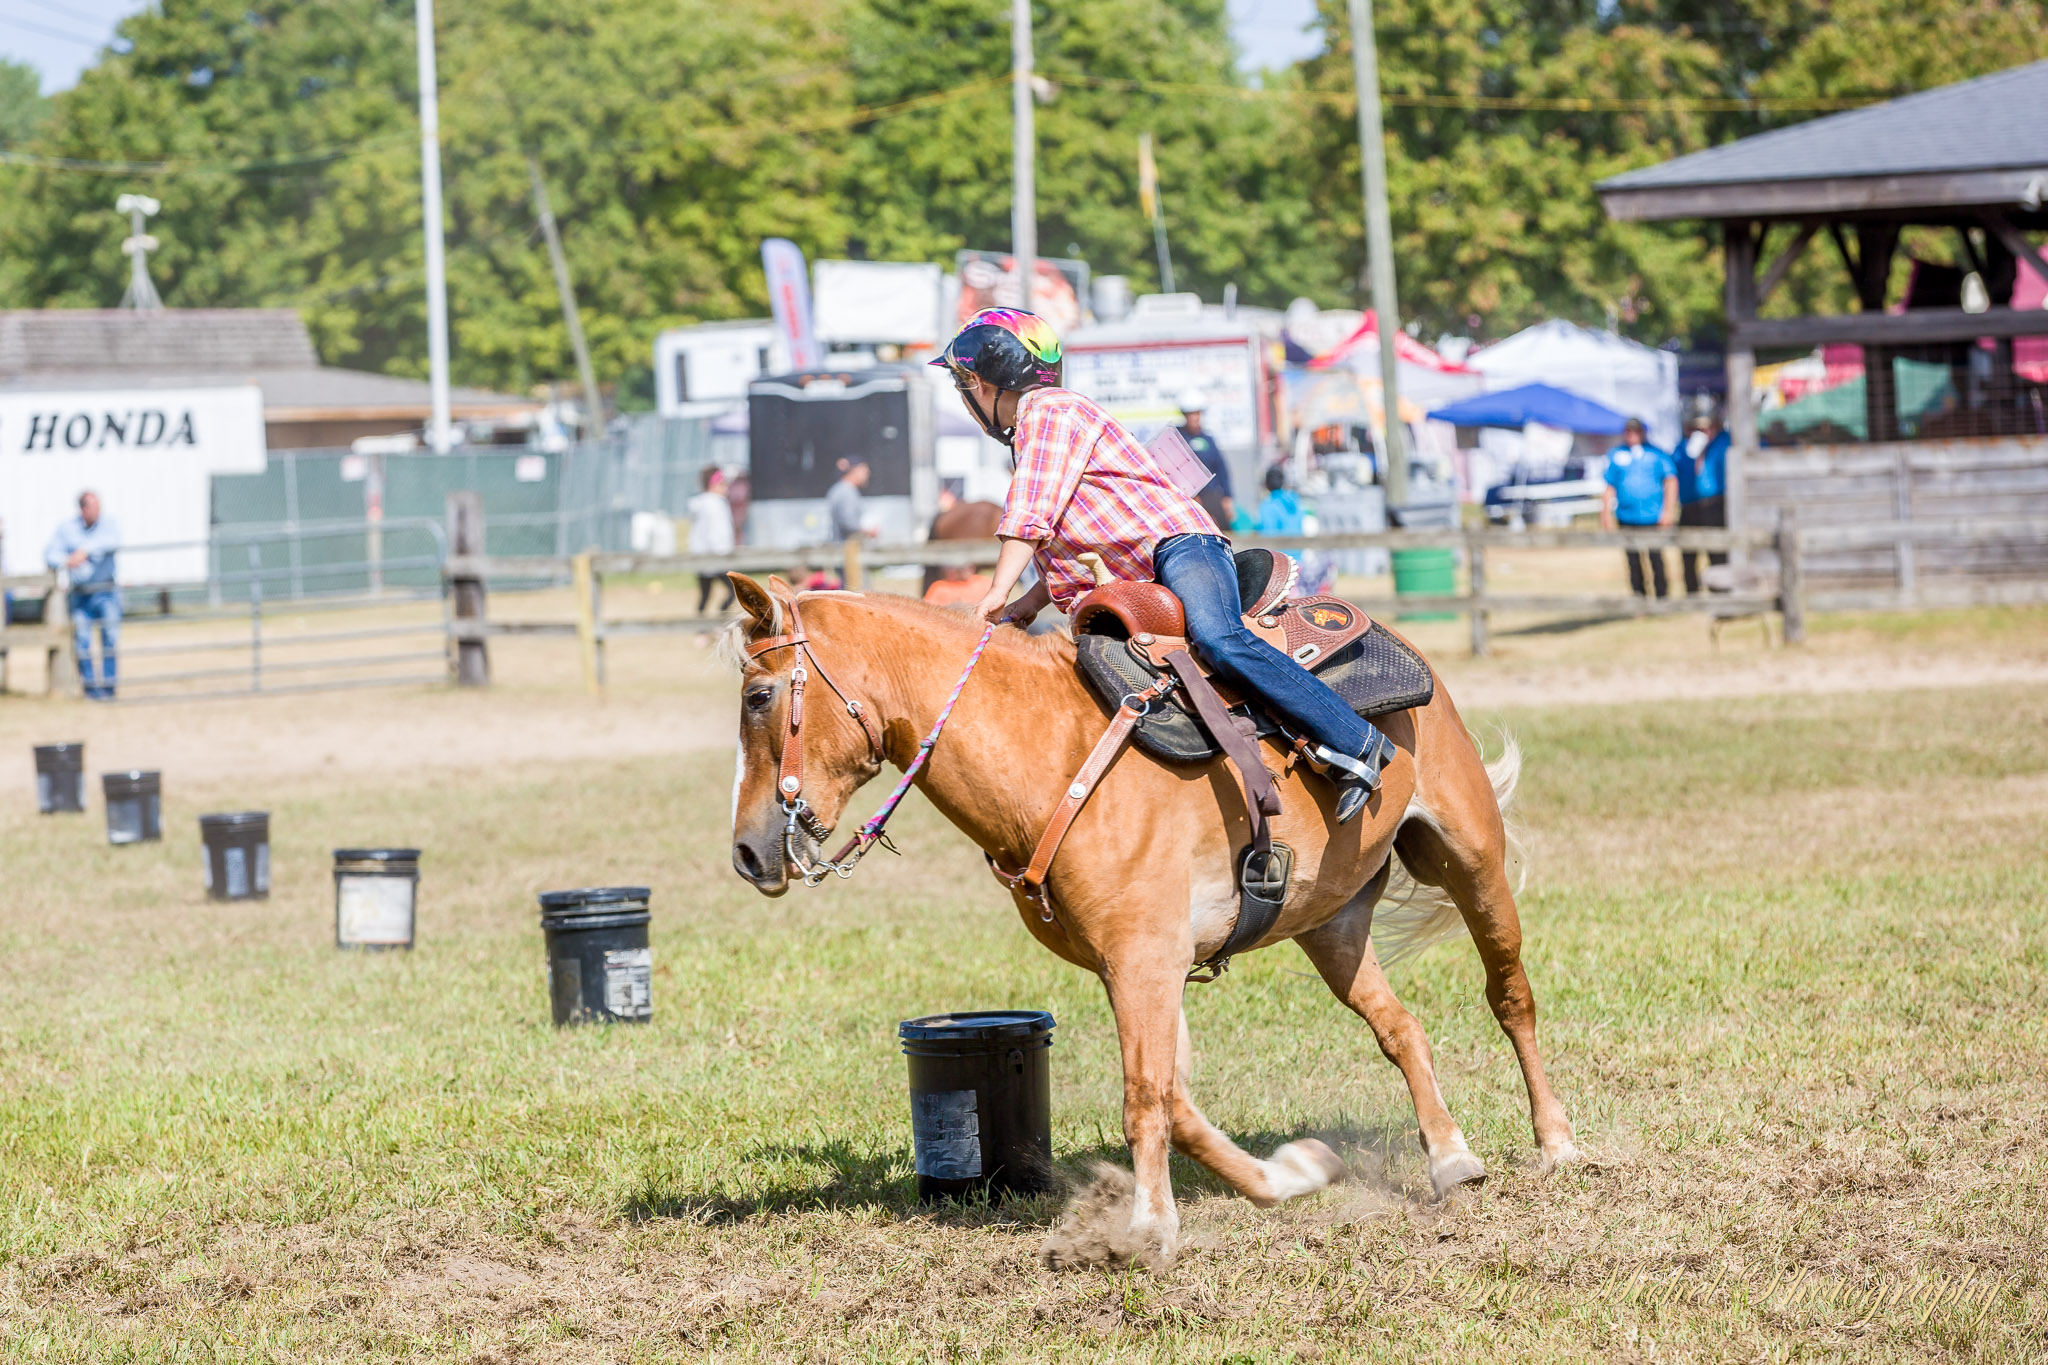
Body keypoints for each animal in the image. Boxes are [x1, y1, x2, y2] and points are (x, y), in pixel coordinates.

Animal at [723, 573, 1582, 1269]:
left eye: (758, 696)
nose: (748, 851)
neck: (1051, 757)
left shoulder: (1146, 957)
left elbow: (1144, 1097)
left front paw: (1147, 1230)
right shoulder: (1134, 962)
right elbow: (1175, 1100)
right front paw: (1292, 1173)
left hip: (1471, 857)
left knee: (1511, 996)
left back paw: (1558, 1143)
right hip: (1332, 924)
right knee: (1400, 1028)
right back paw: (1450, 1156)